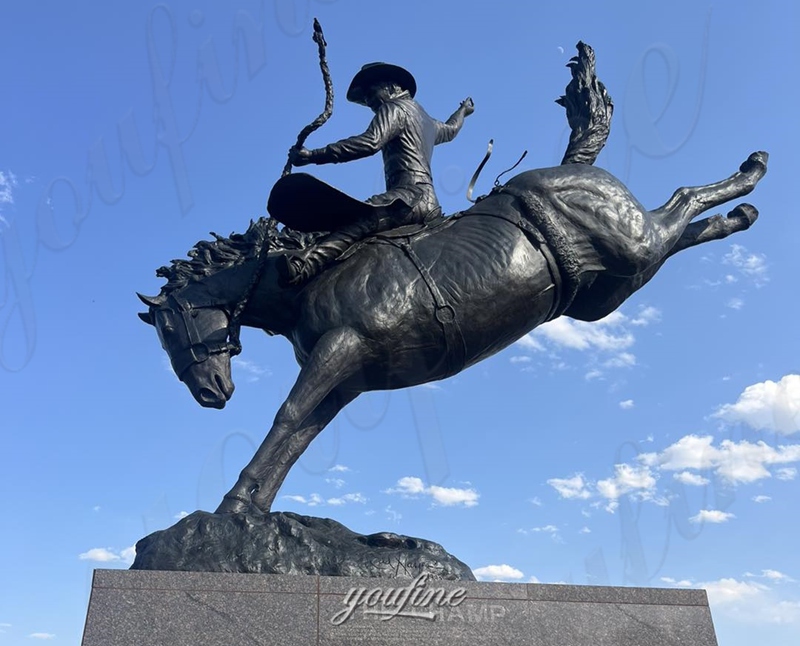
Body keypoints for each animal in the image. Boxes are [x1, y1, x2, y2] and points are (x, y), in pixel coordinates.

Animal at [138, 41, 768, 516]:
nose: (209, 393)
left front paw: (231, 505)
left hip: (631, 243)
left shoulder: (341, 350)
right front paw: (249, 506)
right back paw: (740, 212)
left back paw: (751, 172)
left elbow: (286, 419)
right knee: (682, 227)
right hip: (612, 285)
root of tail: (573, 167)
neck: (306, 279)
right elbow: (298, 439)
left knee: (683, 198)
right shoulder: (346, 380)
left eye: (170, 327)